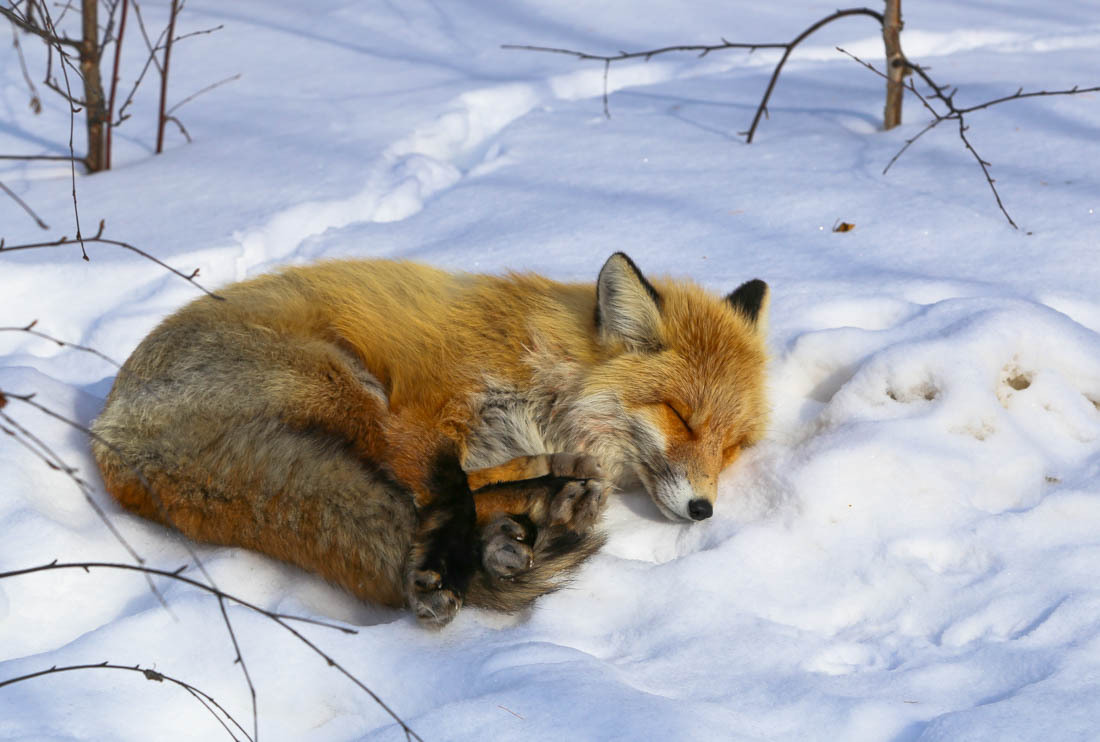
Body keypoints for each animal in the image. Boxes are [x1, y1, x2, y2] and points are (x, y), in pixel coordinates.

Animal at [90, 253, 770, 628]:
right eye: (679, 416)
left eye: (732, 445)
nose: (702, 510)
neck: (546, 375)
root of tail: (106, 431)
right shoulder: (423, 413)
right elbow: (443, 485)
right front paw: (454, 557)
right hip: (348, 386)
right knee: (423, 489)